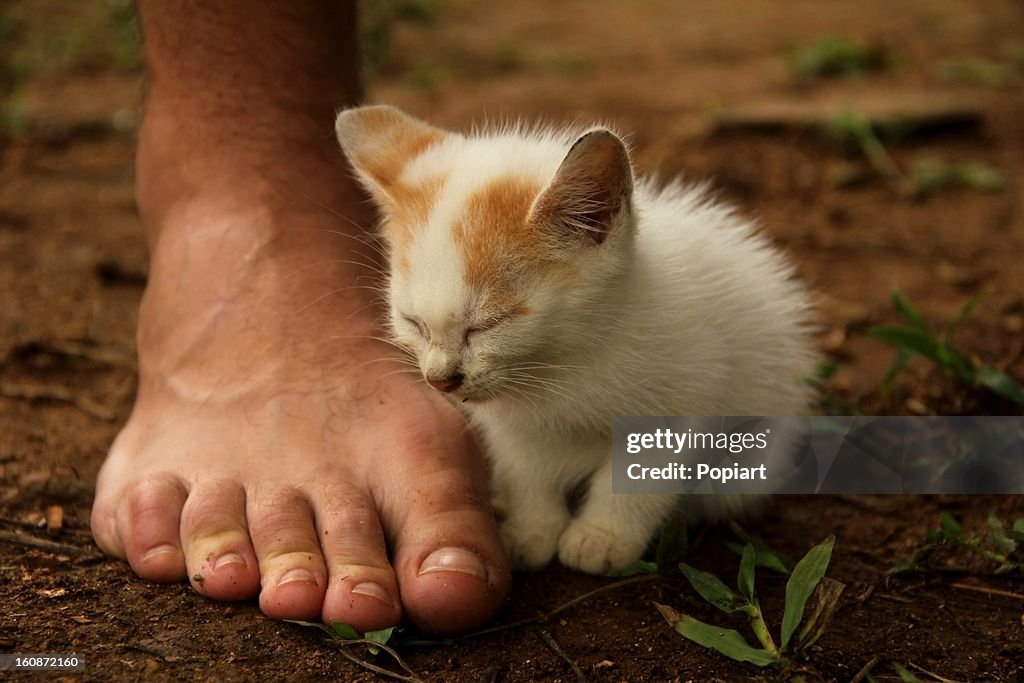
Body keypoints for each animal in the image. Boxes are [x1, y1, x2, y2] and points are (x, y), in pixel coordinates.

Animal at [335, 105, 815, 577]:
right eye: (413, 322)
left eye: (489, 323)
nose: (440, 380)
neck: (564, 367)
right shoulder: (509, 427)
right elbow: (526, 469)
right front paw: (531, 529)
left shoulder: (683, 399)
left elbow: (640, 474)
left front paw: (604, 536)